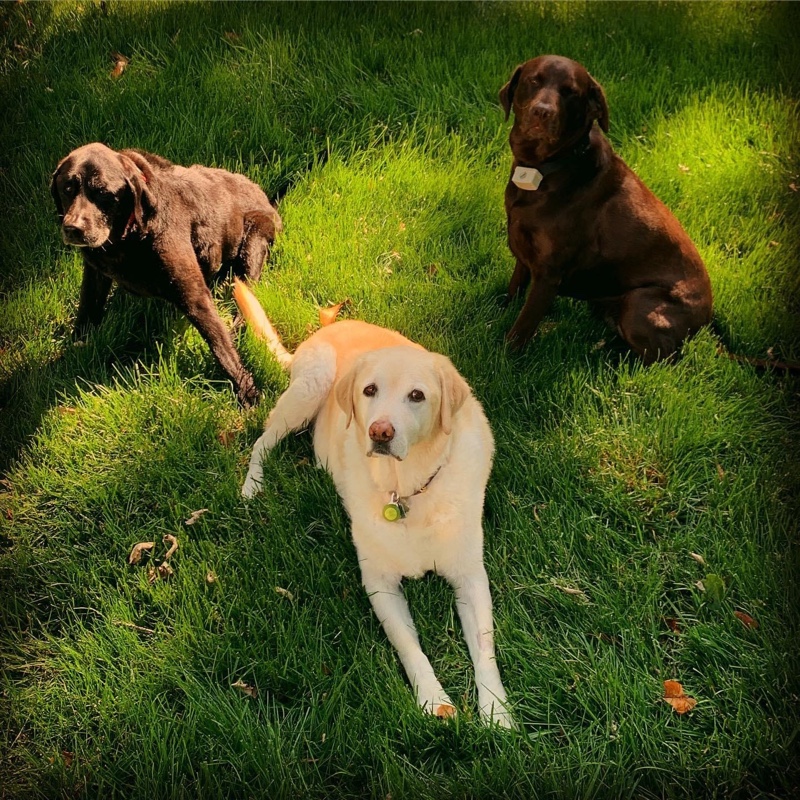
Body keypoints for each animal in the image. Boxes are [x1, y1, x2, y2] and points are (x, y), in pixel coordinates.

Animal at [49, 142, 282, 406]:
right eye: (68, 188)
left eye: (102, 192)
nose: (73, 228)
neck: (126, 239)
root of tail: (265, 197)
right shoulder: (94, 272)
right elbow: (86, 310)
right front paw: (66, 356)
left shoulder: (194, 294)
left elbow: (220, 344)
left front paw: (246, 390)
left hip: (252, 244)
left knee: (245, 300)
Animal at [500, 52, 712, 360]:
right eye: (533, 81)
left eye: (570, 92)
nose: (542, 112)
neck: (543, 169)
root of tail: (706, 320)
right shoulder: (523, 250)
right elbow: (515, 287)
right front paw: (499, 310)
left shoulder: (549, 272)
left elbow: (525, 322)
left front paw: (505, 355)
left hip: (640, 304)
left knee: (662, 356)